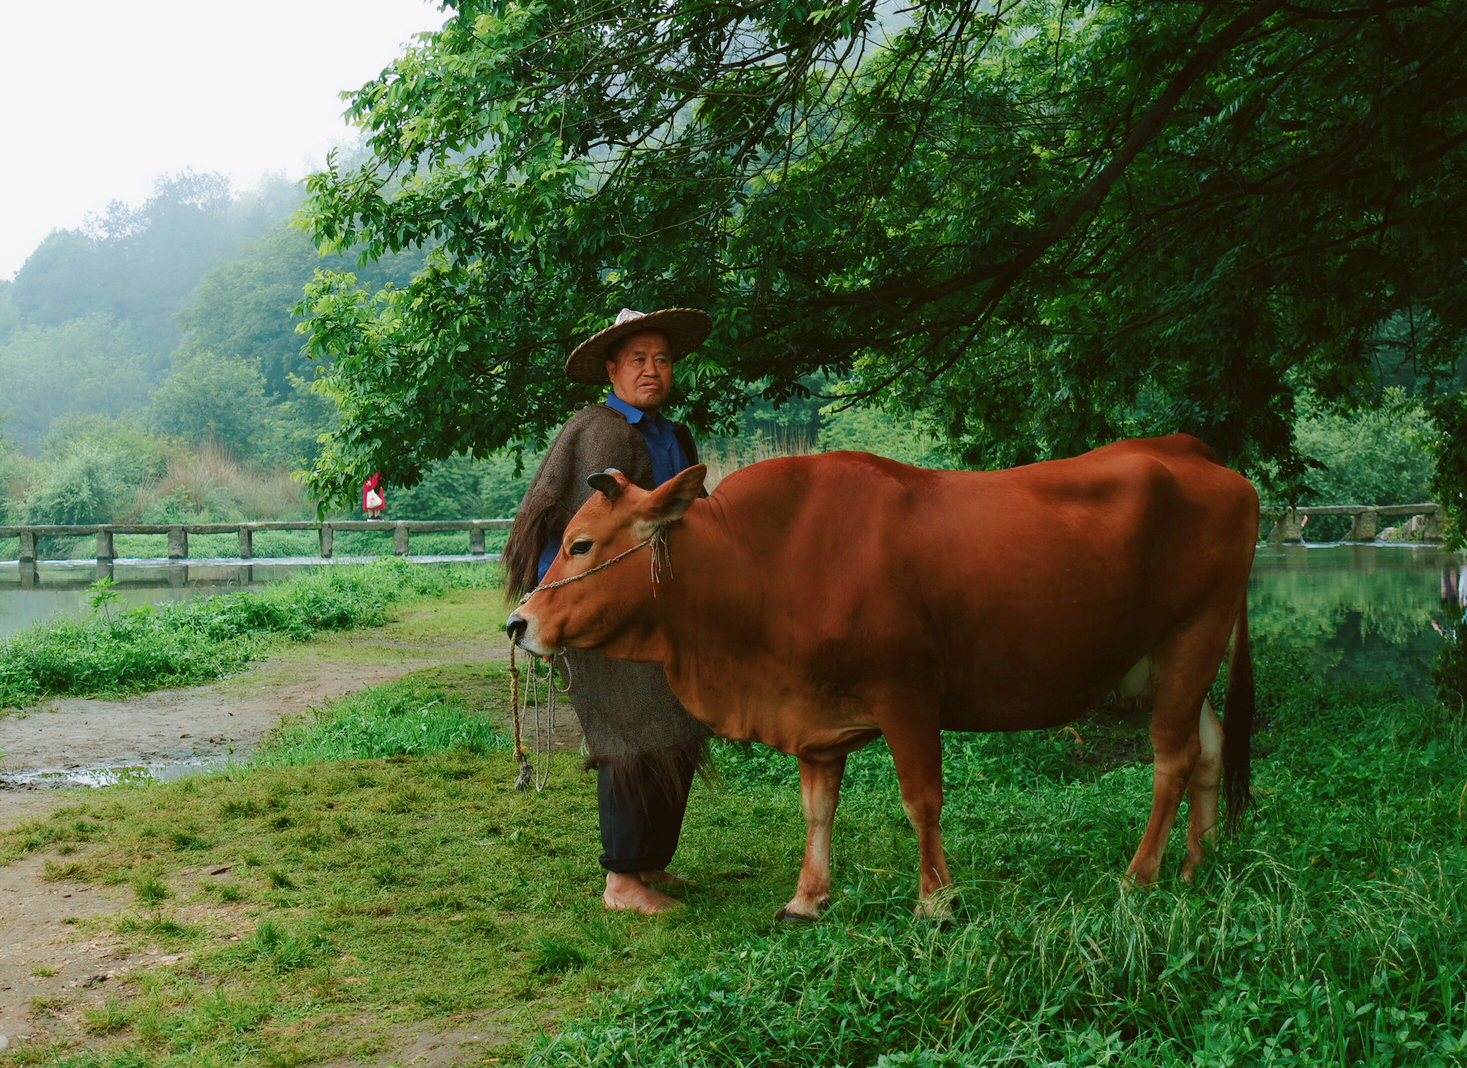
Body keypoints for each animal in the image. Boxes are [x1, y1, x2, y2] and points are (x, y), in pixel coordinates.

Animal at [506, 435, 1257, 919]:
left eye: (580, 543)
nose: (517, 622)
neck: (762, 562)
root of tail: (1196, 453)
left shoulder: (908, 696)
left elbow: (921, 800)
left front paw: (934, 902)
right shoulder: (812, 716)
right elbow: (817, 808)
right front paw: (806, 898)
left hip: (1190, 638)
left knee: (1172, 758)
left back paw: (1140, 876)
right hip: (1177, 661)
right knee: (1210, 747)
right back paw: (1196, 865)